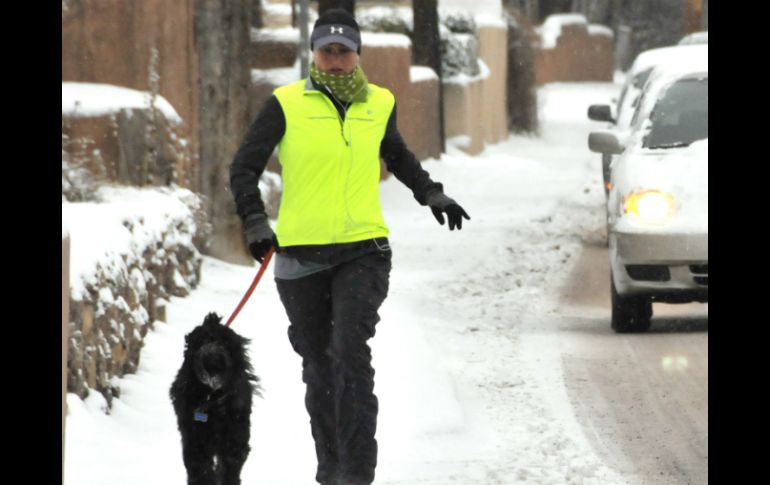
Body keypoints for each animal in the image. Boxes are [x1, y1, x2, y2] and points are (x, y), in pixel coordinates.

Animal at [169, 312, 258, 482]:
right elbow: (201, 470)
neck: (211, 399)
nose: (212, 362)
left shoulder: (235, 440)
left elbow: (229, 469)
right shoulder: (195, 441)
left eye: (225, 344)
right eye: (202, 342)